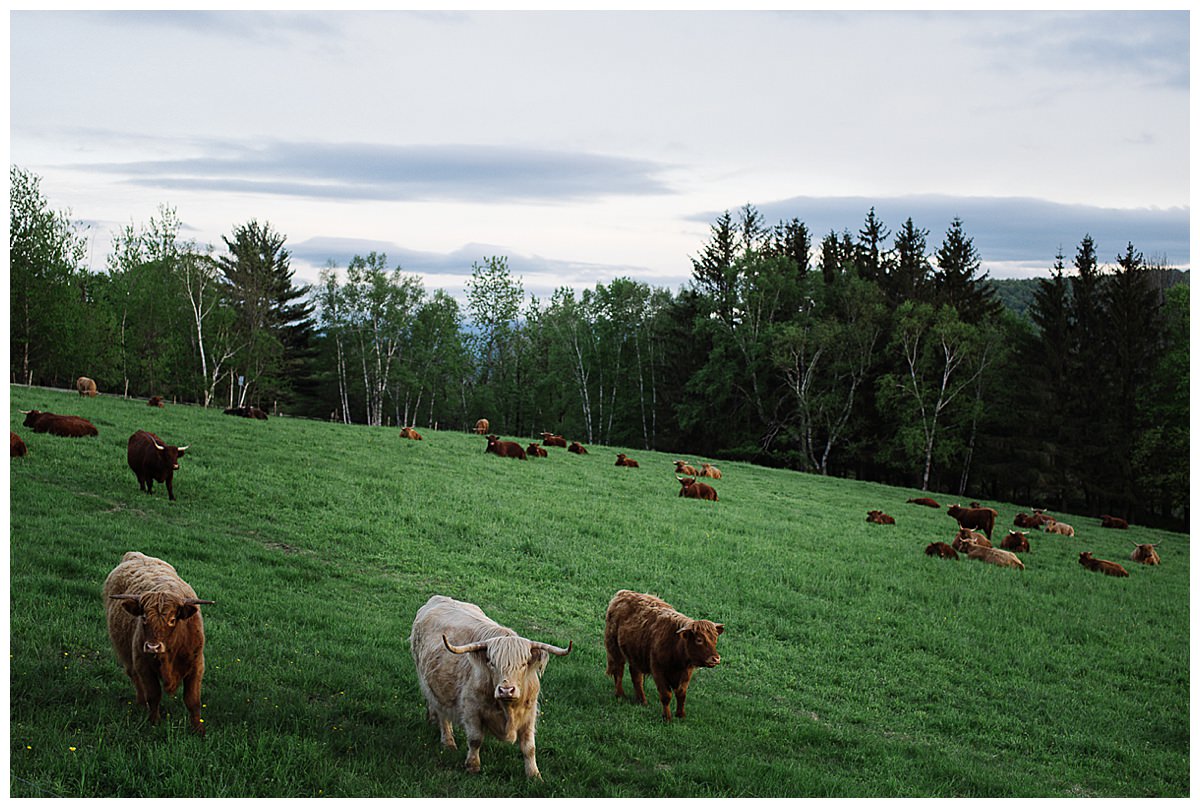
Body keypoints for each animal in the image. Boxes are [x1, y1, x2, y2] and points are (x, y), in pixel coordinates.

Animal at [102, 552, 213, 734]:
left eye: (173, 620)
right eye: (144, 617)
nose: (152, 646)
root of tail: (135, 555)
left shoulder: (196, 665)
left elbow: (193, 700)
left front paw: (199, 729)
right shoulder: (143, 664)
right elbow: (153, 695)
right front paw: (154, 722)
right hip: (126, 653)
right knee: (134, 676)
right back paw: (141, 703)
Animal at [410, 593, 573, 773]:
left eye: (523, 664)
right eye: (492, 663)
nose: (506, 690)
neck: (507, 710)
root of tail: (438, 598)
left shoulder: (529, 713)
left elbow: (529, 747)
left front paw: (534, 775)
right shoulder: (472, 709)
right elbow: (475, 740)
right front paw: (473, 766)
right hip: (432, 686)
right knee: (442, 714)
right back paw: (448, 742)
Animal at [604, 588, 724, 720]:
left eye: (715, 639)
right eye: (699, 640)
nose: (716, 659)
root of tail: (623, 593)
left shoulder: (686, 673)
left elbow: (681, 693)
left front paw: (680, 715)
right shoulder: (658, 670)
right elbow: (666, 695)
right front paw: (667, 717)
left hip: (635, 654)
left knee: (636, 676)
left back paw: (642, 701)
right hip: (615, 649)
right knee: (618, 671)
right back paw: (620, 695)